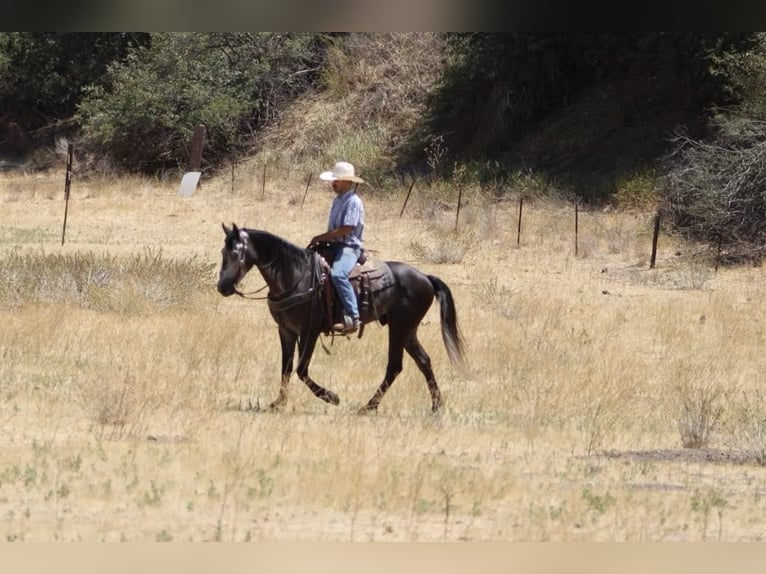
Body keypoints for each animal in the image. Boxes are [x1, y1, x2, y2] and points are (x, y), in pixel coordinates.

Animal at [216, 223, 465, 413]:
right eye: (222, 252)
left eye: (235, 253)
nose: (223, 287)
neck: (296, 276)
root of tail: (425, 277)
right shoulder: (286, 330)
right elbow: (286, 369)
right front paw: (278, 403)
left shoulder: (310, 331)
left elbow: (301, 370)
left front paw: (331, 397)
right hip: (408, 330)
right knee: (423, 361)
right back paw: (436, 405)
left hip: (399, 327)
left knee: (395, 366)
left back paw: (368, 407)